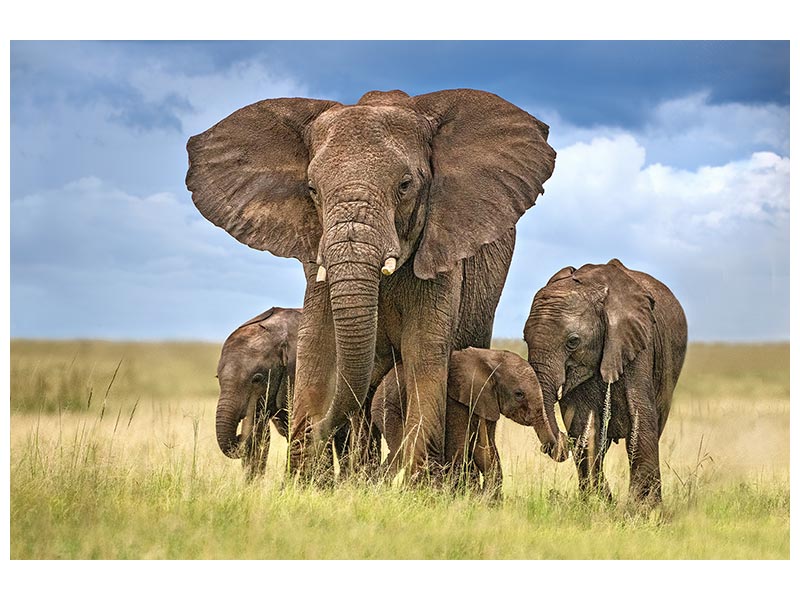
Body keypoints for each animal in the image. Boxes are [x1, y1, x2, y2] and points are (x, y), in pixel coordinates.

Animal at [371, 348, 568, 499]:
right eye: (519, 394)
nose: (548, 446)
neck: (490, 359)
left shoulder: (487, 402)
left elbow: (486, 449)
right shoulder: (455, 401)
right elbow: (461, 447)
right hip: (387, 407)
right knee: (400, 449)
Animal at [523, 259, 687, 505]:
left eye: (573, 342)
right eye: (525, 339)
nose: (561, 442)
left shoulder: (638, 342)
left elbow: (640, 421)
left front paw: (643, 508)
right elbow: (584, 428)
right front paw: (599, 504)